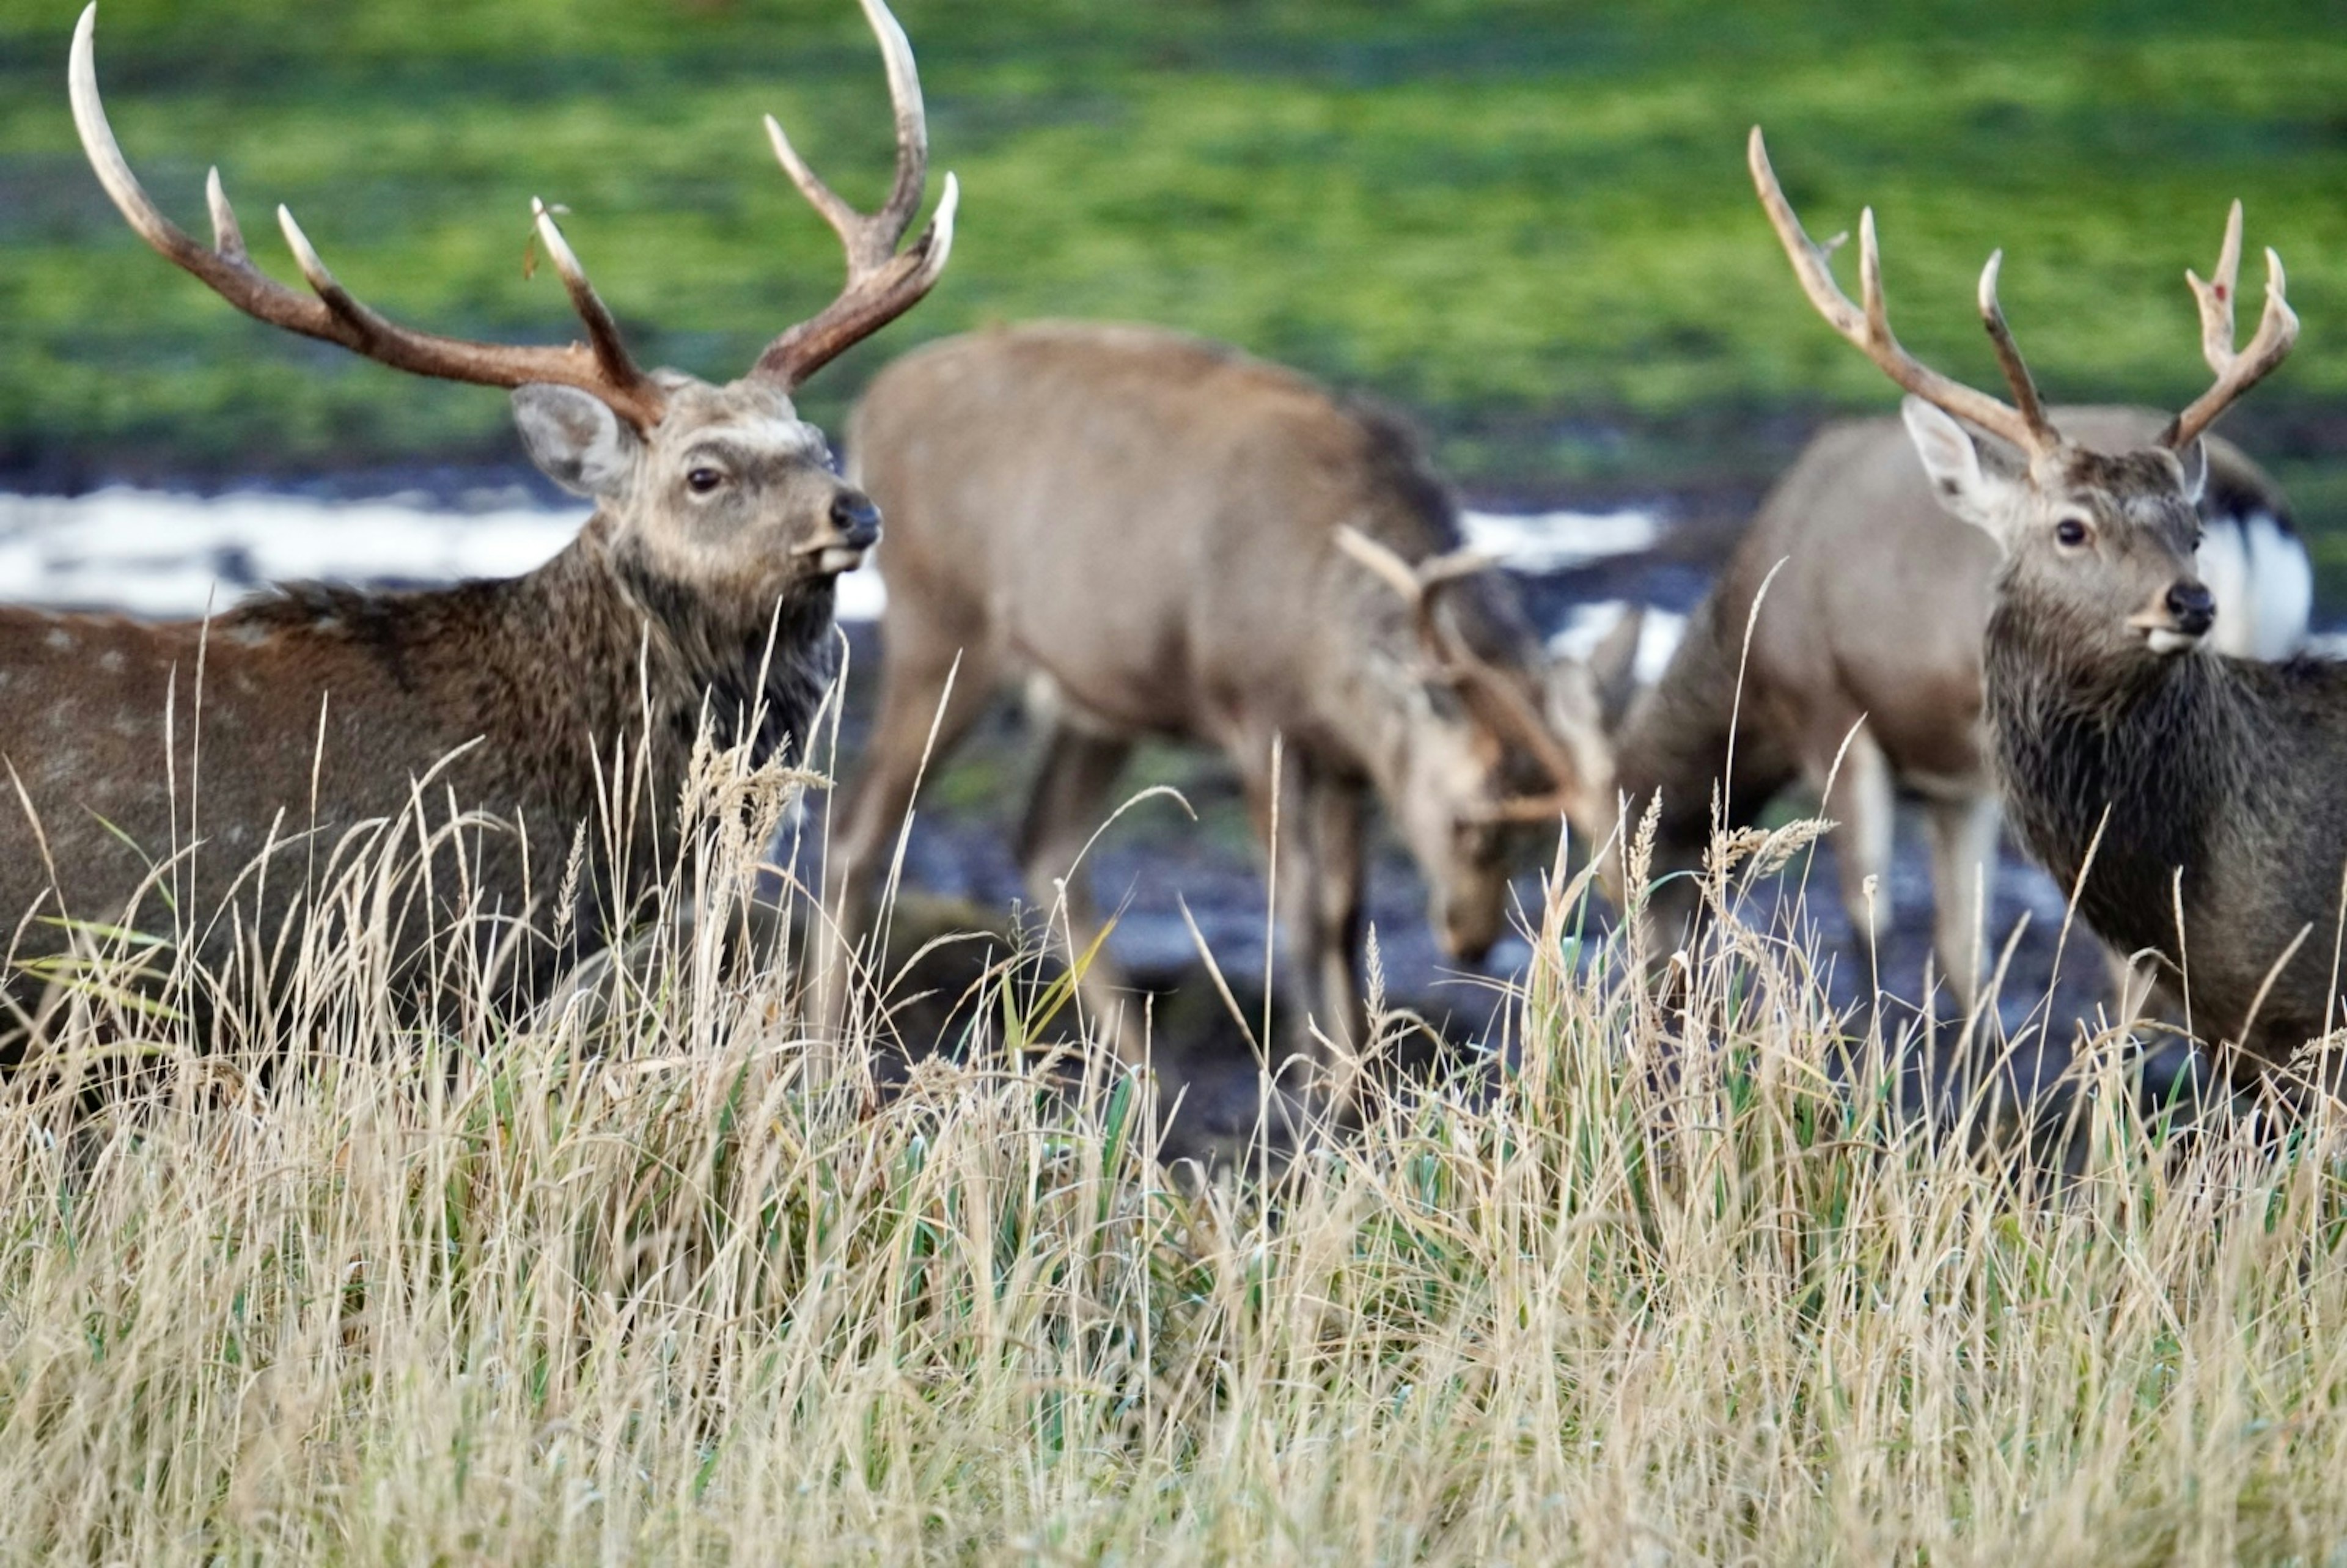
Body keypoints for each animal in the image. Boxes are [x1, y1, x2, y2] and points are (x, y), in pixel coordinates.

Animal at [817, 319, 1624, 1080]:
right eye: (1467, 822)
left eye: (1534, 839)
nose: (1471, 937)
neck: (1326, 656)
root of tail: (867, 413)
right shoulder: (1253, 711)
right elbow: (1301, 908)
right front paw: (1313, 1093)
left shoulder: (1345, 758)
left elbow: (1347, 913)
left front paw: (1357, 1087)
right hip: (940, 627)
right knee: (857, 826)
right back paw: (827, 1048)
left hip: (1094, 694)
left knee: (1044, 837)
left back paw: (1149, 1077)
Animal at [1605, 399, 2300, 1009]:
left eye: (1621, 871)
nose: (1656, 989)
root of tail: (2242, 503)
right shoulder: (1956, 782)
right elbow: (1964, 950)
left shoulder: (1830, 713)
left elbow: (1870, 924)